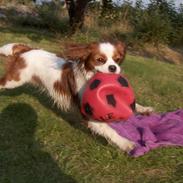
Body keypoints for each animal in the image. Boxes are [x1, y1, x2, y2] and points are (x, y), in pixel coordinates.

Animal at [0, 42, 153, 152]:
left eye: (117, 60)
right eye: (100, 60)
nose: (113, 68)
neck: (89, 77)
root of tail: (28, 49)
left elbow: (133, 105)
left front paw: (144, 109)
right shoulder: (89, 115)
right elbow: (110, 130)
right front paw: (126, 143)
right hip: (14, 81)